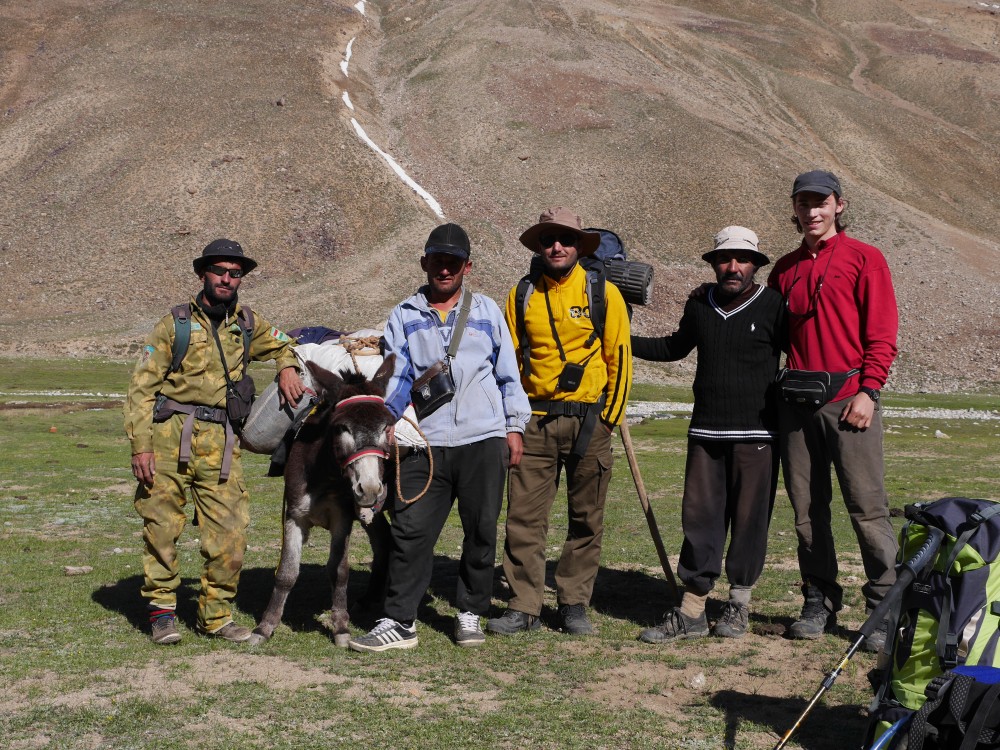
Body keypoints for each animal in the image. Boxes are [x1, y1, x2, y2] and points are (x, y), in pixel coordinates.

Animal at [249, 355, 396, 646]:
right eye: (341, 427)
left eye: (387, 426)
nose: (370, 488)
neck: (324, 476)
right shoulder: (294, 516)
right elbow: (286, 573)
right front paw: (265, 627)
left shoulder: (342, 519)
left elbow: (339, 572)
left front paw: (340, 628)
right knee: (383, 539)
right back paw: (369, 599)